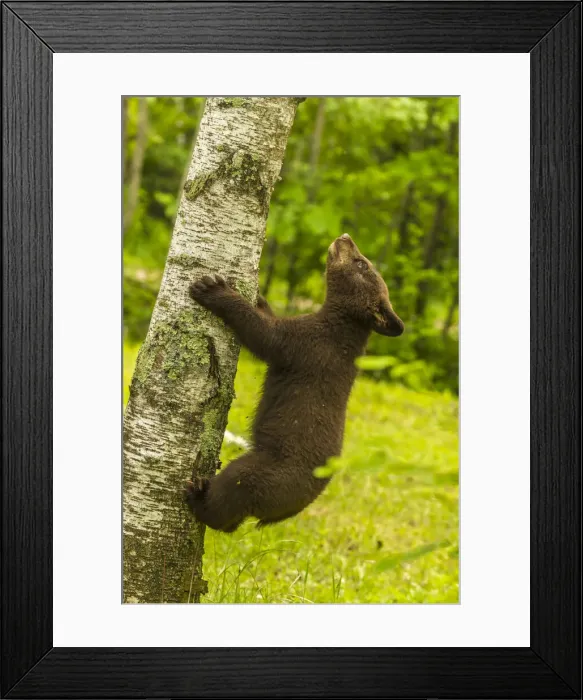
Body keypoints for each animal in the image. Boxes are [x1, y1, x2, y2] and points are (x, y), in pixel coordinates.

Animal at [185, 233, 404, 532]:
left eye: (362, 264)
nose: (345, 237)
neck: (339, 326)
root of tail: (287, 513)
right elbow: (270, 318)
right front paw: (258, 296)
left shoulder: (305, 345)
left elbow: (264, 334)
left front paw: (212, 288)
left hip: (263, 472)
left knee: (232, 491)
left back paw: (197, 496)